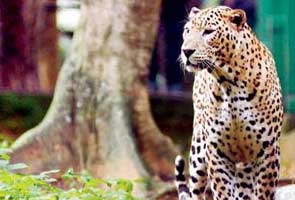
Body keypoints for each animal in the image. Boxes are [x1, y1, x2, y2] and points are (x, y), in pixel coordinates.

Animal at [176, 5, 284, 199]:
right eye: (187, 31)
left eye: (208, 32)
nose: (186, 51)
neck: (229, 83)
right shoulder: (216, 152)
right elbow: (222, 191)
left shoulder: (267, 151)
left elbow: (264, 192)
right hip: (198, 152)